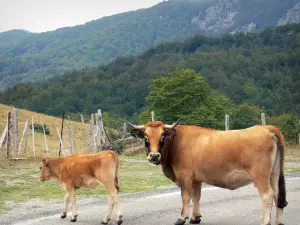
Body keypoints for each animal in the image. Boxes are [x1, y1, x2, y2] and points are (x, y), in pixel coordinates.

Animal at [125, 119, 288, 225]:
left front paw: (181, 218)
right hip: (274, 174)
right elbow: (196, 197)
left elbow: (185, 197)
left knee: (267, 196)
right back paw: (279, 222)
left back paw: (265, 222)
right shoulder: (196, 179)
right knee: (277, 195)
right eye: (146, 137)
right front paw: (195, 218)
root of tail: (266, 128)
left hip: (261, 176)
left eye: (162, 136)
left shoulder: (185, 177)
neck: (176, 142)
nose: (154, 156)